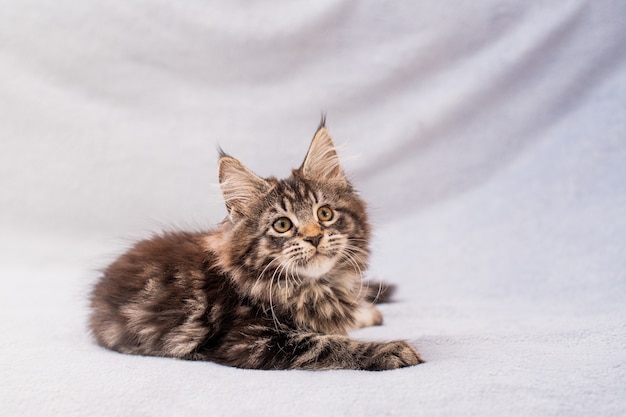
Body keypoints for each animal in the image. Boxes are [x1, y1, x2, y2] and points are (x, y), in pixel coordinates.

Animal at [89, 120, 424, 370]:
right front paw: (389, 350)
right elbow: (325, 343)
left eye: (325, 214)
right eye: (282, 225)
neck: (315, 286)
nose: (314, 236)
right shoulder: (250, 340)